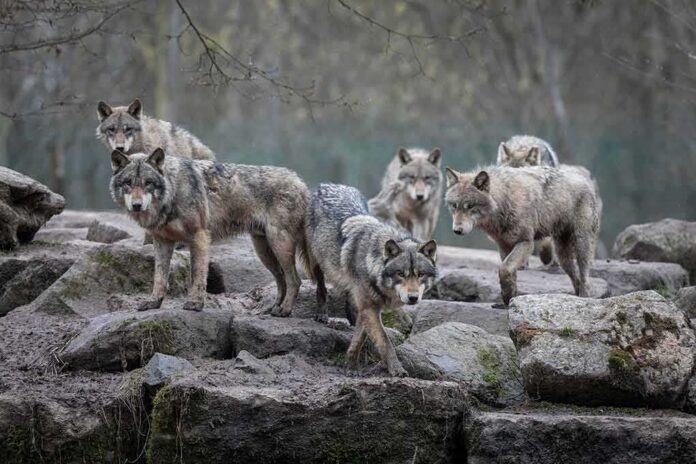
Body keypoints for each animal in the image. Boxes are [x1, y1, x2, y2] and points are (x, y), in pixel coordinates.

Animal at [109, 148, 309, 314]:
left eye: (148, 183)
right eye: (128, 183)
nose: (136, 205)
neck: (173, 191)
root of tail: (300, 182)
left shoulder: (199, 237)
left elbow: (197, 273)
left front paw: (195, 304)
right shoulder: (162, 241)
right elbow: (159, 277)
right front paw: (154, 302)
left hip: (279, 245)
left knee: (294, 280)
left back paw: (285, 310)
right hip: (264, 251)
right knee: (282, 279)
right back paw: (274, 308)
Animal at [307, 183, 438, 376]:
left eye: (420, 274)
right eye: (401, 274)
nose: (413, 298)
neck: (372, 262)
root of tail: (328, 184)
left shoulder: (368, 307)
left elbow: (359, 338)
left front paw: (350, 364)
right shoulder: (370, 307)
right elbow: (385, 341)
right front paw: (397, 369)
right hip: (316, 260)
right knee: (321, 286)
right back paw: (322, 313)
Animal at [445, 165, 600, 306]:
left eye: (470, 206)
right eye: (454, 206)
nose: (457, 230)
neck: (505, 201)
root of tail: (584, 178)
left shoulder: (525, 243)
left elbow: (504, 269)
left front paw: (508, 296)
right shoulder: (504, 246)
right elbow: (509, 272)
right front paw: (509, 298)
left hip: (581, 245)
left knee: (585, 277)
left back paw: (584, 298)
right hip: (562, 256)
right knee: (576, 277)